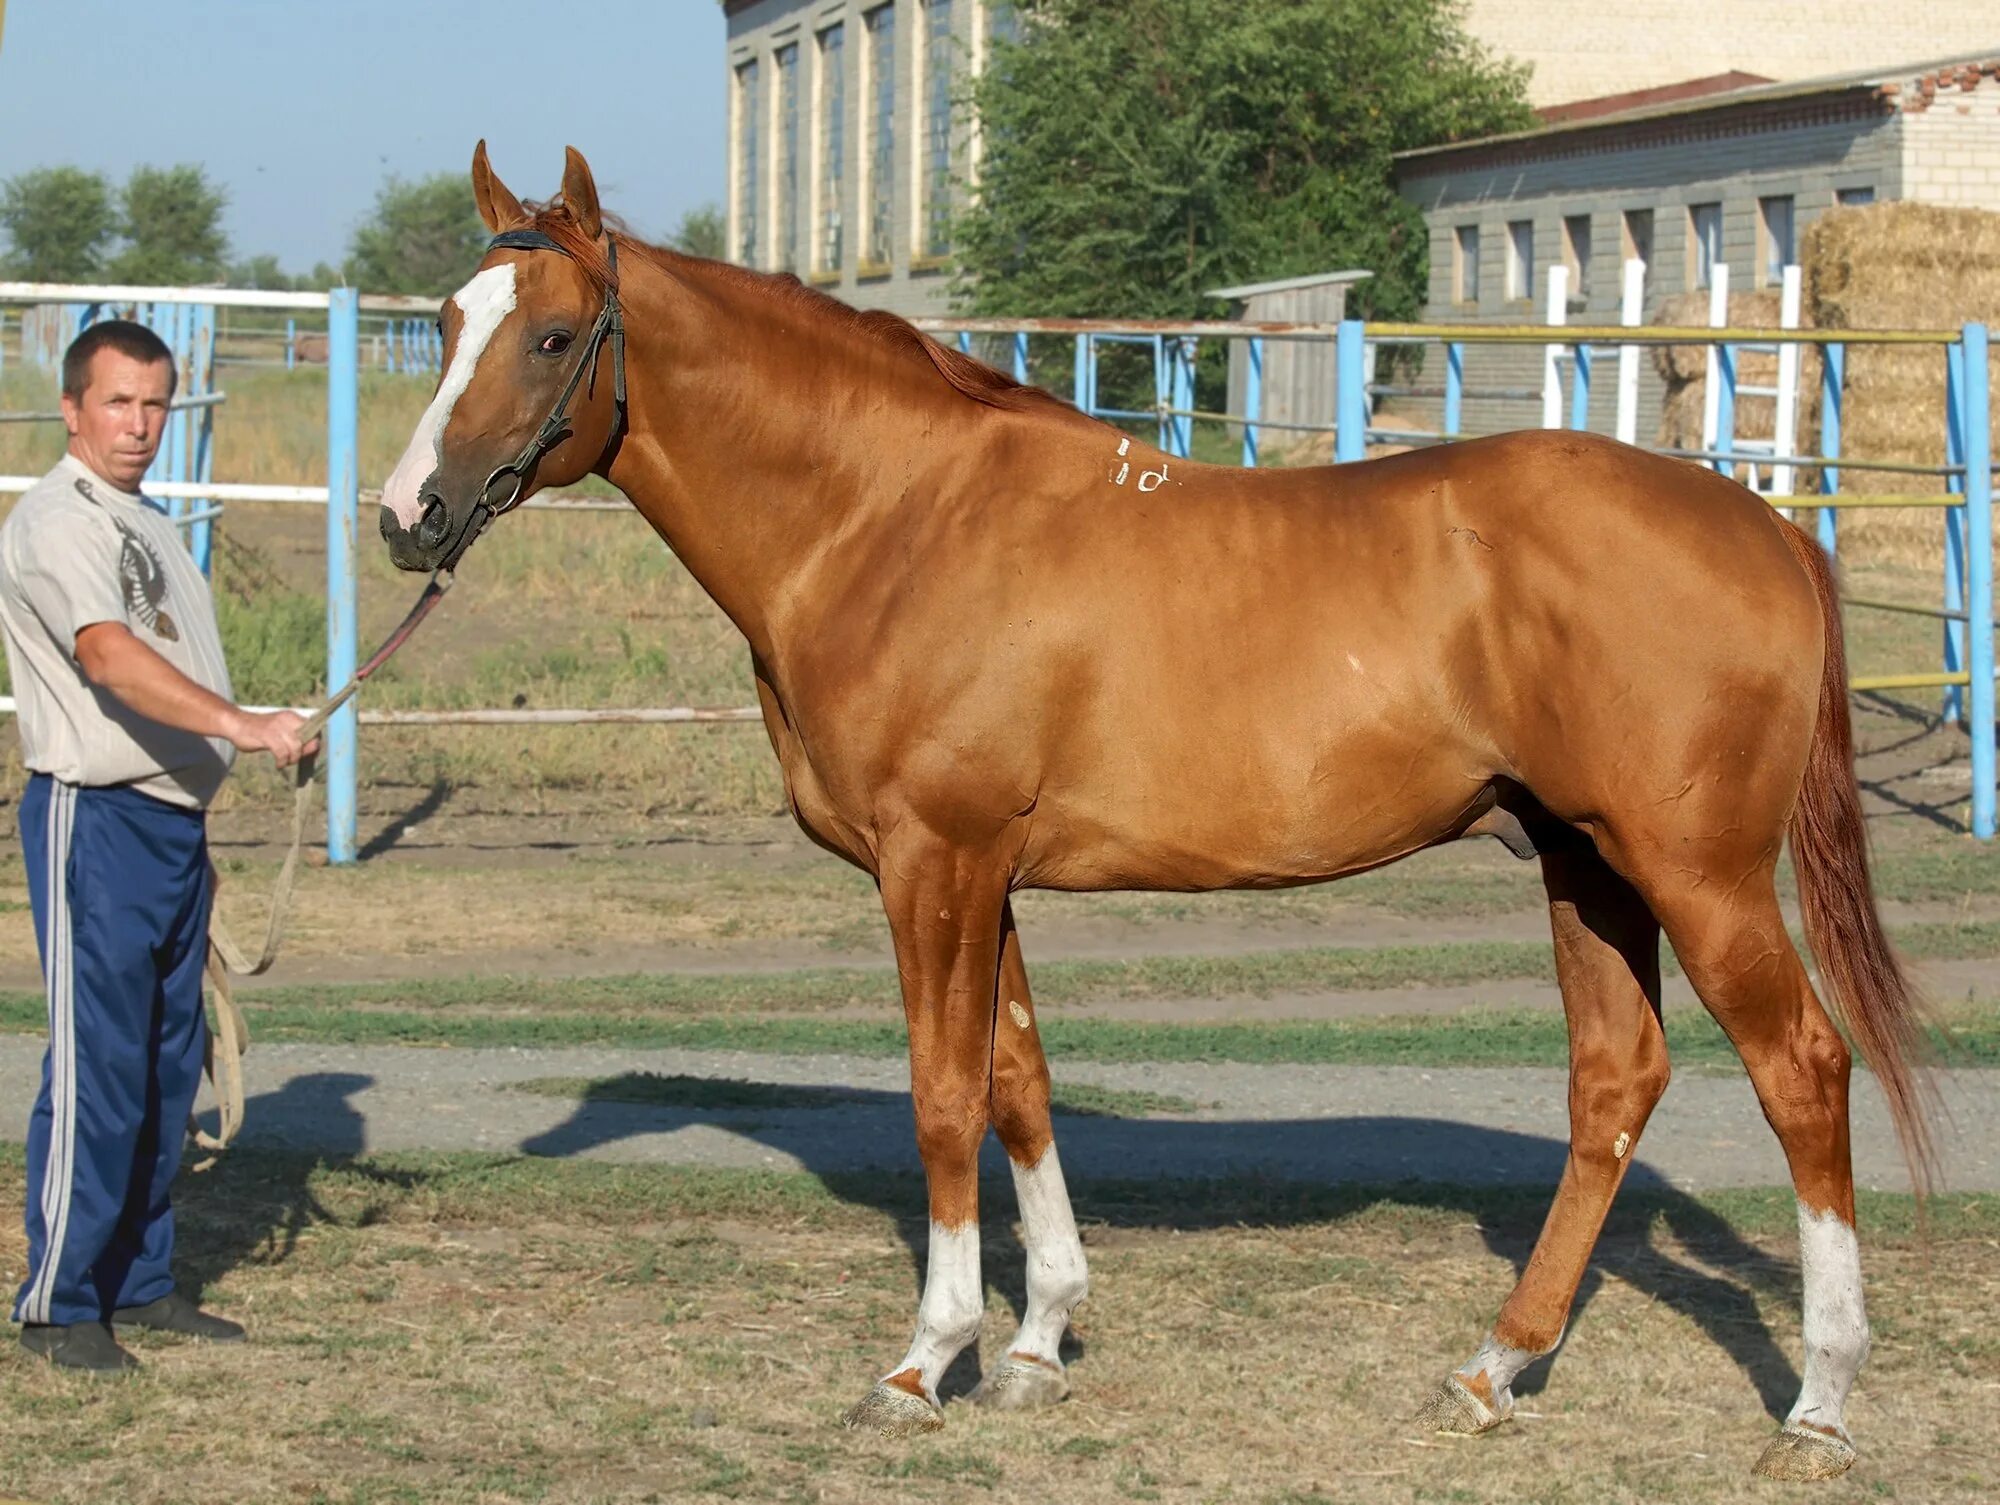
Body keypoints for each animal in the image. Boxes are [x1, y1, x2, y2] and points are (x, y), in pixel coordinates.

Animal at [372, 147, 1920, 1488]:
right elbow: (1017, 1077)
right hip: (1584, 864)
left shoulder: (933, 863)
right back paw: (1496, 1366)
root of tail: (1770, 529)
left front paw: (927, 1360)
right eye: (443, 322)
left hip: (1695, 874)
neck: (891, 519)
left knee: (1801, 1072)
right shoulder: (985, 873)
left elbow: (941, 1096)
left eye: (554, 336)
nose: (405, 514)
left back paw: (1820, 1403)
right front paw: (1039, 1338)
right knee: (1615, 1079)